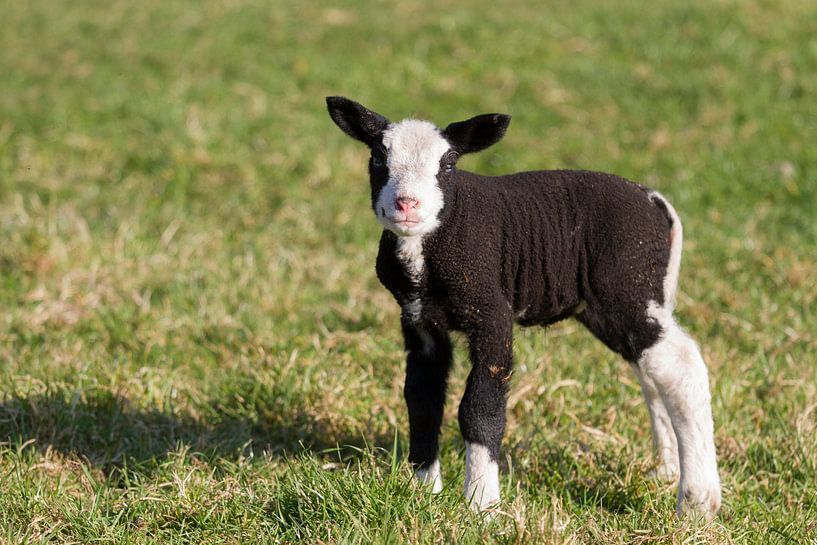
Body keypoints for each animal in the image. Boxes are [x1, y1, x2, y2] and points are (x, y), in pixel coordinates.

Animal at [325, 96, 721, 517]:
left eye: (448, 163)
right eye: (377, 159)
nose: (407, 204)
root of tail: (656, 201)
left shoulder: (491, 313)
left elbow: (481, 407)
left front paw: (481, 504)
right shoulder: (418, 319)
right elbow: (422, 399)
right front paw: (422, 493)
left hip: (627, 287)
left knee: (681, 365)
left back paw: (697, 500)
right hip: (624, 302)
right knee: (653, 374)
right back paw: (665, 472)